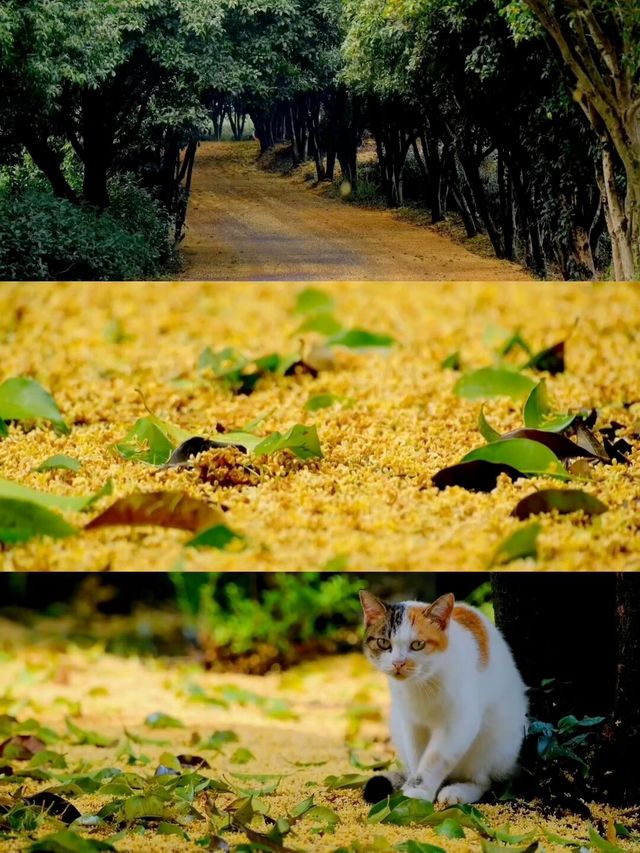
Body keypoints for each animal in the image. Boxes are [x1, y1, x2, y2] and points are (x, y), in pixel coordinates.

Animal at [358, 592, 528, 804]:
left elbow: (435, 759)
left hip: (496, 742)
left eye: (417, 644)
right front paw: (414, 786)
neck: (421, 684)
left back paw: (459, 791)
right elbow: (417, 756)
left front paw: (419, 791)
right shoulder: (411, 723)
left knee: (484, 780)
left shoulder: (459, 724)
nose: (398, 663)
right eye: (383, 643)